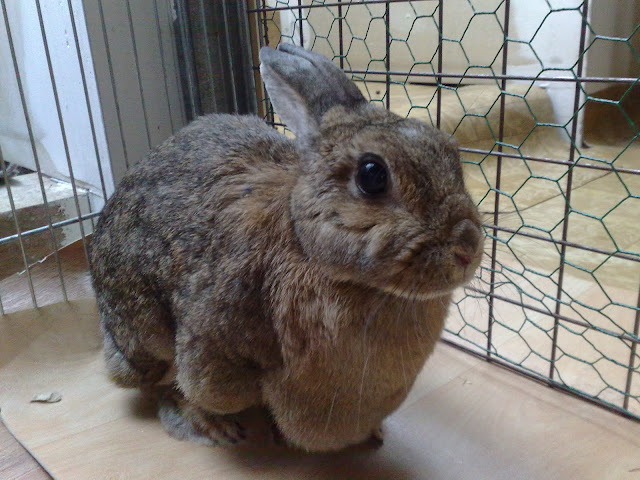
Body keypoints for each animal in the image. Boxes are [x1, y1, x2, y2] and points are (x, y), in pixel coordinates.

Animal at [88, 43, 484, 452]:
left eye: (451, 152)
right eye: (372, 175)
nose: (467, 247)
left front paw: (372, 434)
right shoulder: (208, 354)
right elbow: (195, 391)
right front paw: (212, 425)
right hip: (145, 334)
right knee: (153, 377)